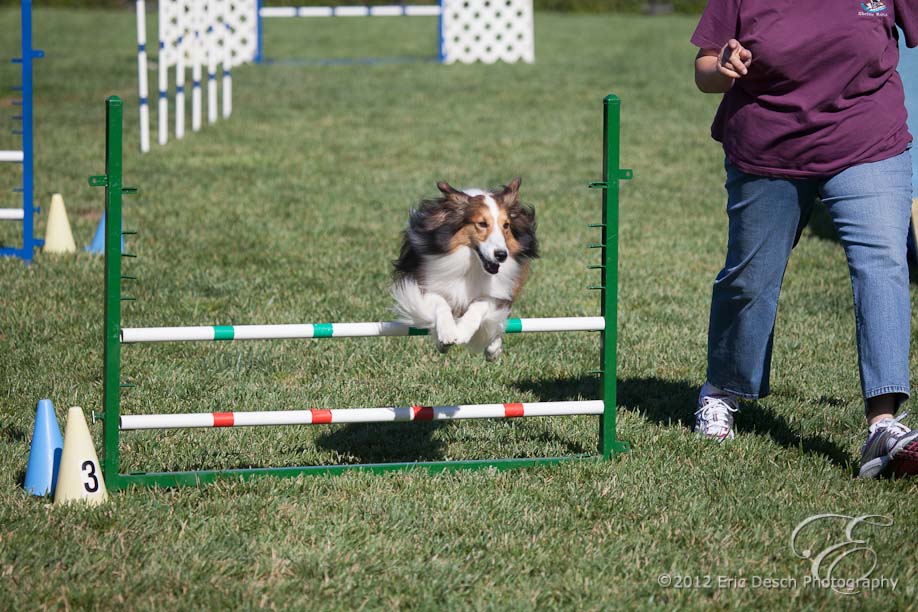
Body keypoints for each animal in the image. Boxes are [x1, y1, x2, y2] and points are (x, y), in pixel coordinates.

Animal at [390, 176, 536, 358]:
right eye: (482, 224)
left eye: (506, 225)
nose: (502, 255)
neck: (471, 265)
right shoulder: (422, 284)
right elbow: (440, 302)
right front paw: (447, 333)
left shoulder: (501, 292)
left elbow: (481, 306)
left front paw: (464, 332)